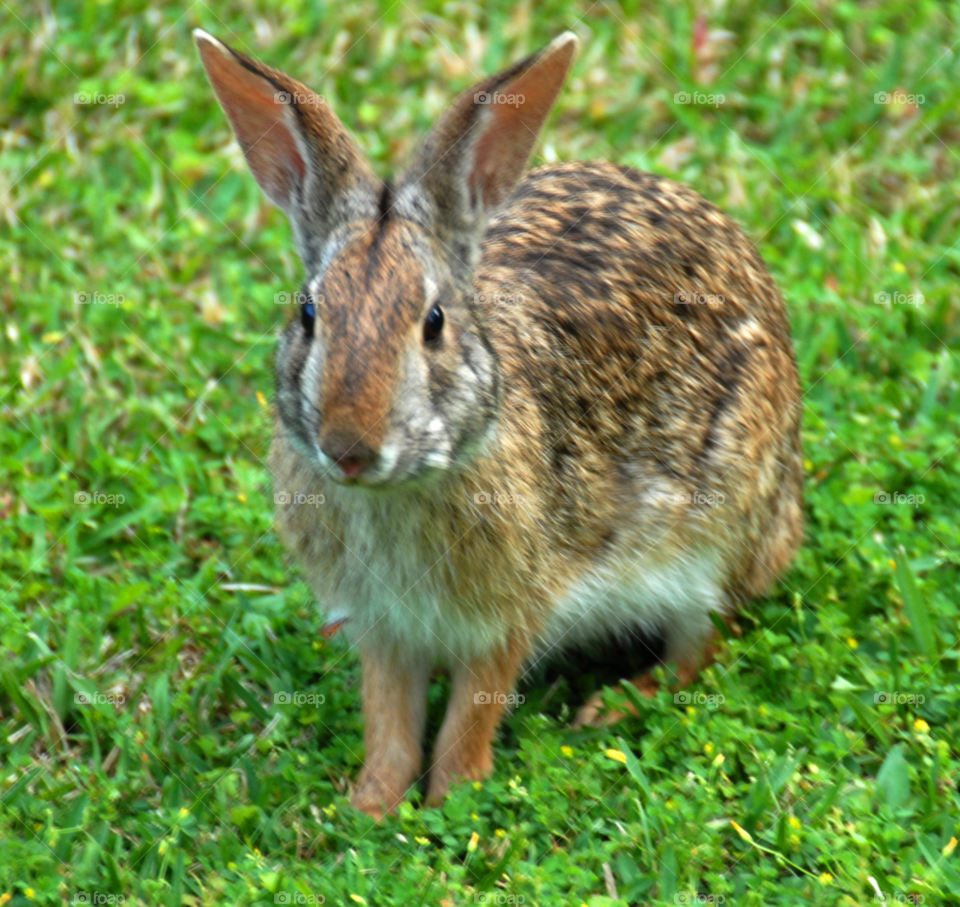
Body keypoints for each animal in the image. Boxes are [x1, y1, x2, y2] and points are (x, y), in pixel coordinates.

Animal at [195, 28, 803, 819]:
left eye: (433, 322)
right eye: (307, 314)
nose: (348, 448)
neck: (402, 486)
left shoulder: (510, 612)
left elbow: (471, 712)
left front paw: (453, 798)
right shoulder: (384, 626)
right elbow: (389, 720)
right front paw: (370, 807)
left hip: (719, 529)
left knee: (704, 640)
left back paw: (612, 705)